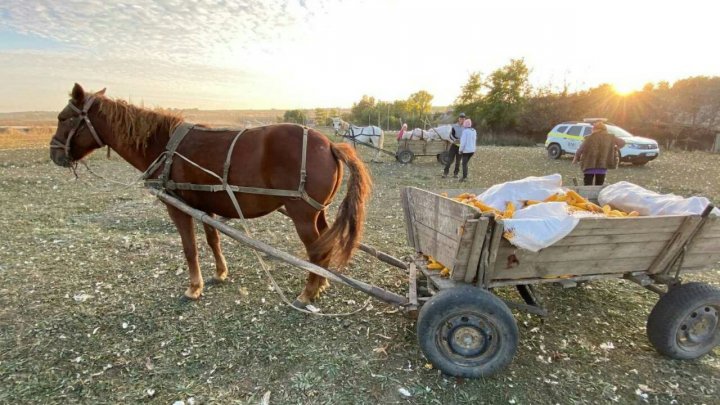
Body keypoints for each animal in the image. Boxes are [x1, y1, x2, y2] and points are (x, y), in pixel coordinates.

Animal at [49, 83, 372, 304]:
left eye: (64, 117)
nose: (54, 153)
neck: (165, 146)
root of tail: (330, 144)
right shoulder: (205, 205)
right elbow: (212, 239)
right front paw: (220, 273)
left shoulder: (178, 207)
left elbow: (189, 247)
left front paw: (194, 287)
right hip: (317, 211)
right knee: (325, 243)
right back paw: (321, 283)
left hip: (302, 214)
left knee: (315, 250)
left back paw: (307, 292)